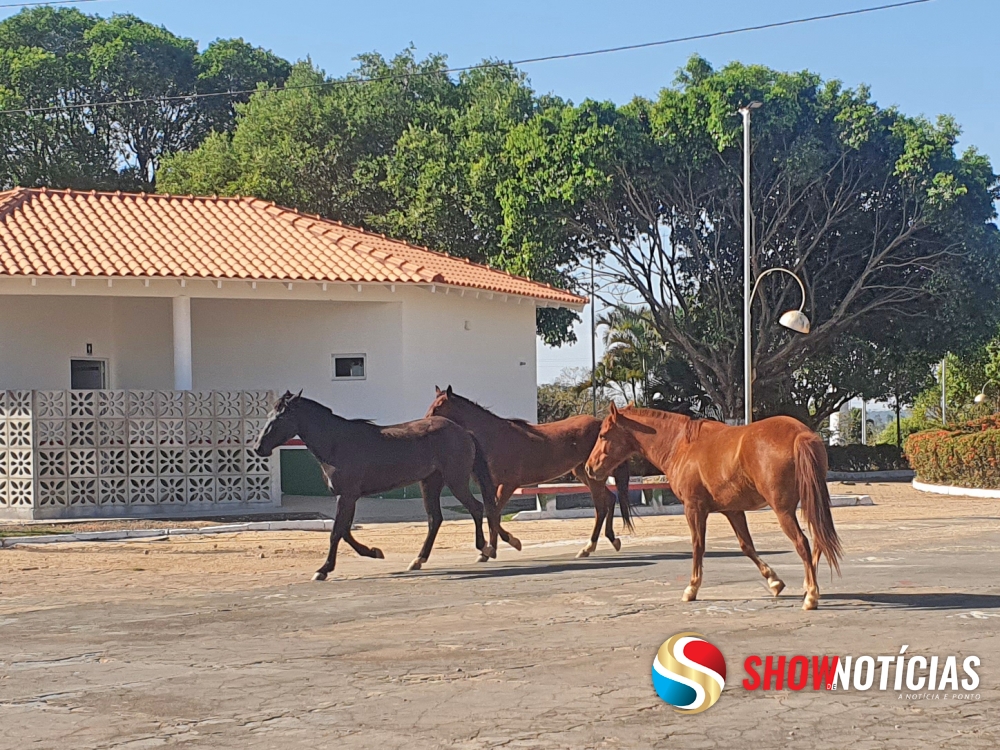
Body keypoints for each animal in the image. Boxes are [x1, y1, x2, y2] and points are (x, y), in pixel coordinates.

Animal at [254, 394, 496, 580]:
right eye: (269, 415)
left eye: (281, 416)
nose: (258, 448)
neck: (337, 442)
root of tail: (464, 432)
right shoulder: (347, 497)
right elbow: (344, 531)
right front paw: (373, 552)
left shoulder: (347, 496)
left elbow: (336, 532)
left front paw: (323, 570)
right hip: (430, 482)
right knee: (434, 519)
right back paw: (418, 560)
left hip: (455, 480)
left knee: (475, 508)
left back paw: (485, 549)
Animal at [424, 388, 632, 560]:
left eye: (438, 407)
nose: (425, 422)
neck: (494, 437)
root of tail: (601, 423)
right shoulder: (489, 486)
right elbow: (491, 513)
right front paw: (490, 550)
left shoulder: (507, 485)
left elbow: (494, 514)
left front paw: (506, 545)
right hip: (585, 473)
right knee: (610, 499)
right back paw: (613, 540)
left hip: (592, 477)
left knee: (601, 508)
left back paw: (588, 548)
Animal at [584, 406, 844, 612]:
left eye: (603, 434)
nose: (589, 467)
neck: (682, 445)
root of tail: (801, 434)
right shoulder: (733, 511)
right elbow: (747, 547)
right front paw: (774, 582)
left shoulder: (694, 509)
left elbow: (698, 546)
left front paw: (691, 588)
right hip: (809, 502)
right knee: (818, 540)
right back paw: (809, 587)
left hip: (783, 510)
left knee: (803, 543)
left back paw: (811, 596)